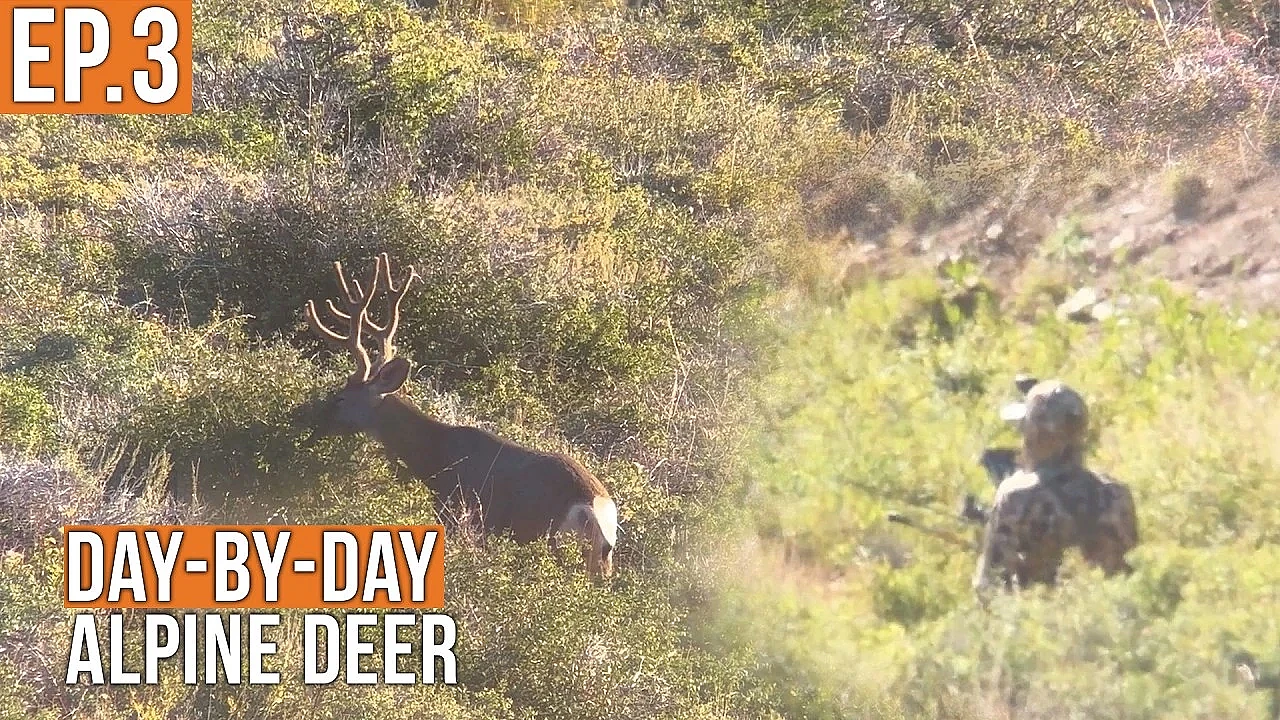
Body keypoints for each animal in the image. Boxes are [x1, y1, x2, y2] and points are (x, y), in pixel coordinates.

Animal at [298, 252, 619, 578]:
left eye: (339, 399)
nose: (312, 425)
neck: (431, 455)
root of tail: (595, 506)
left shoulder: (451, 508)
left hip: (542, 535)